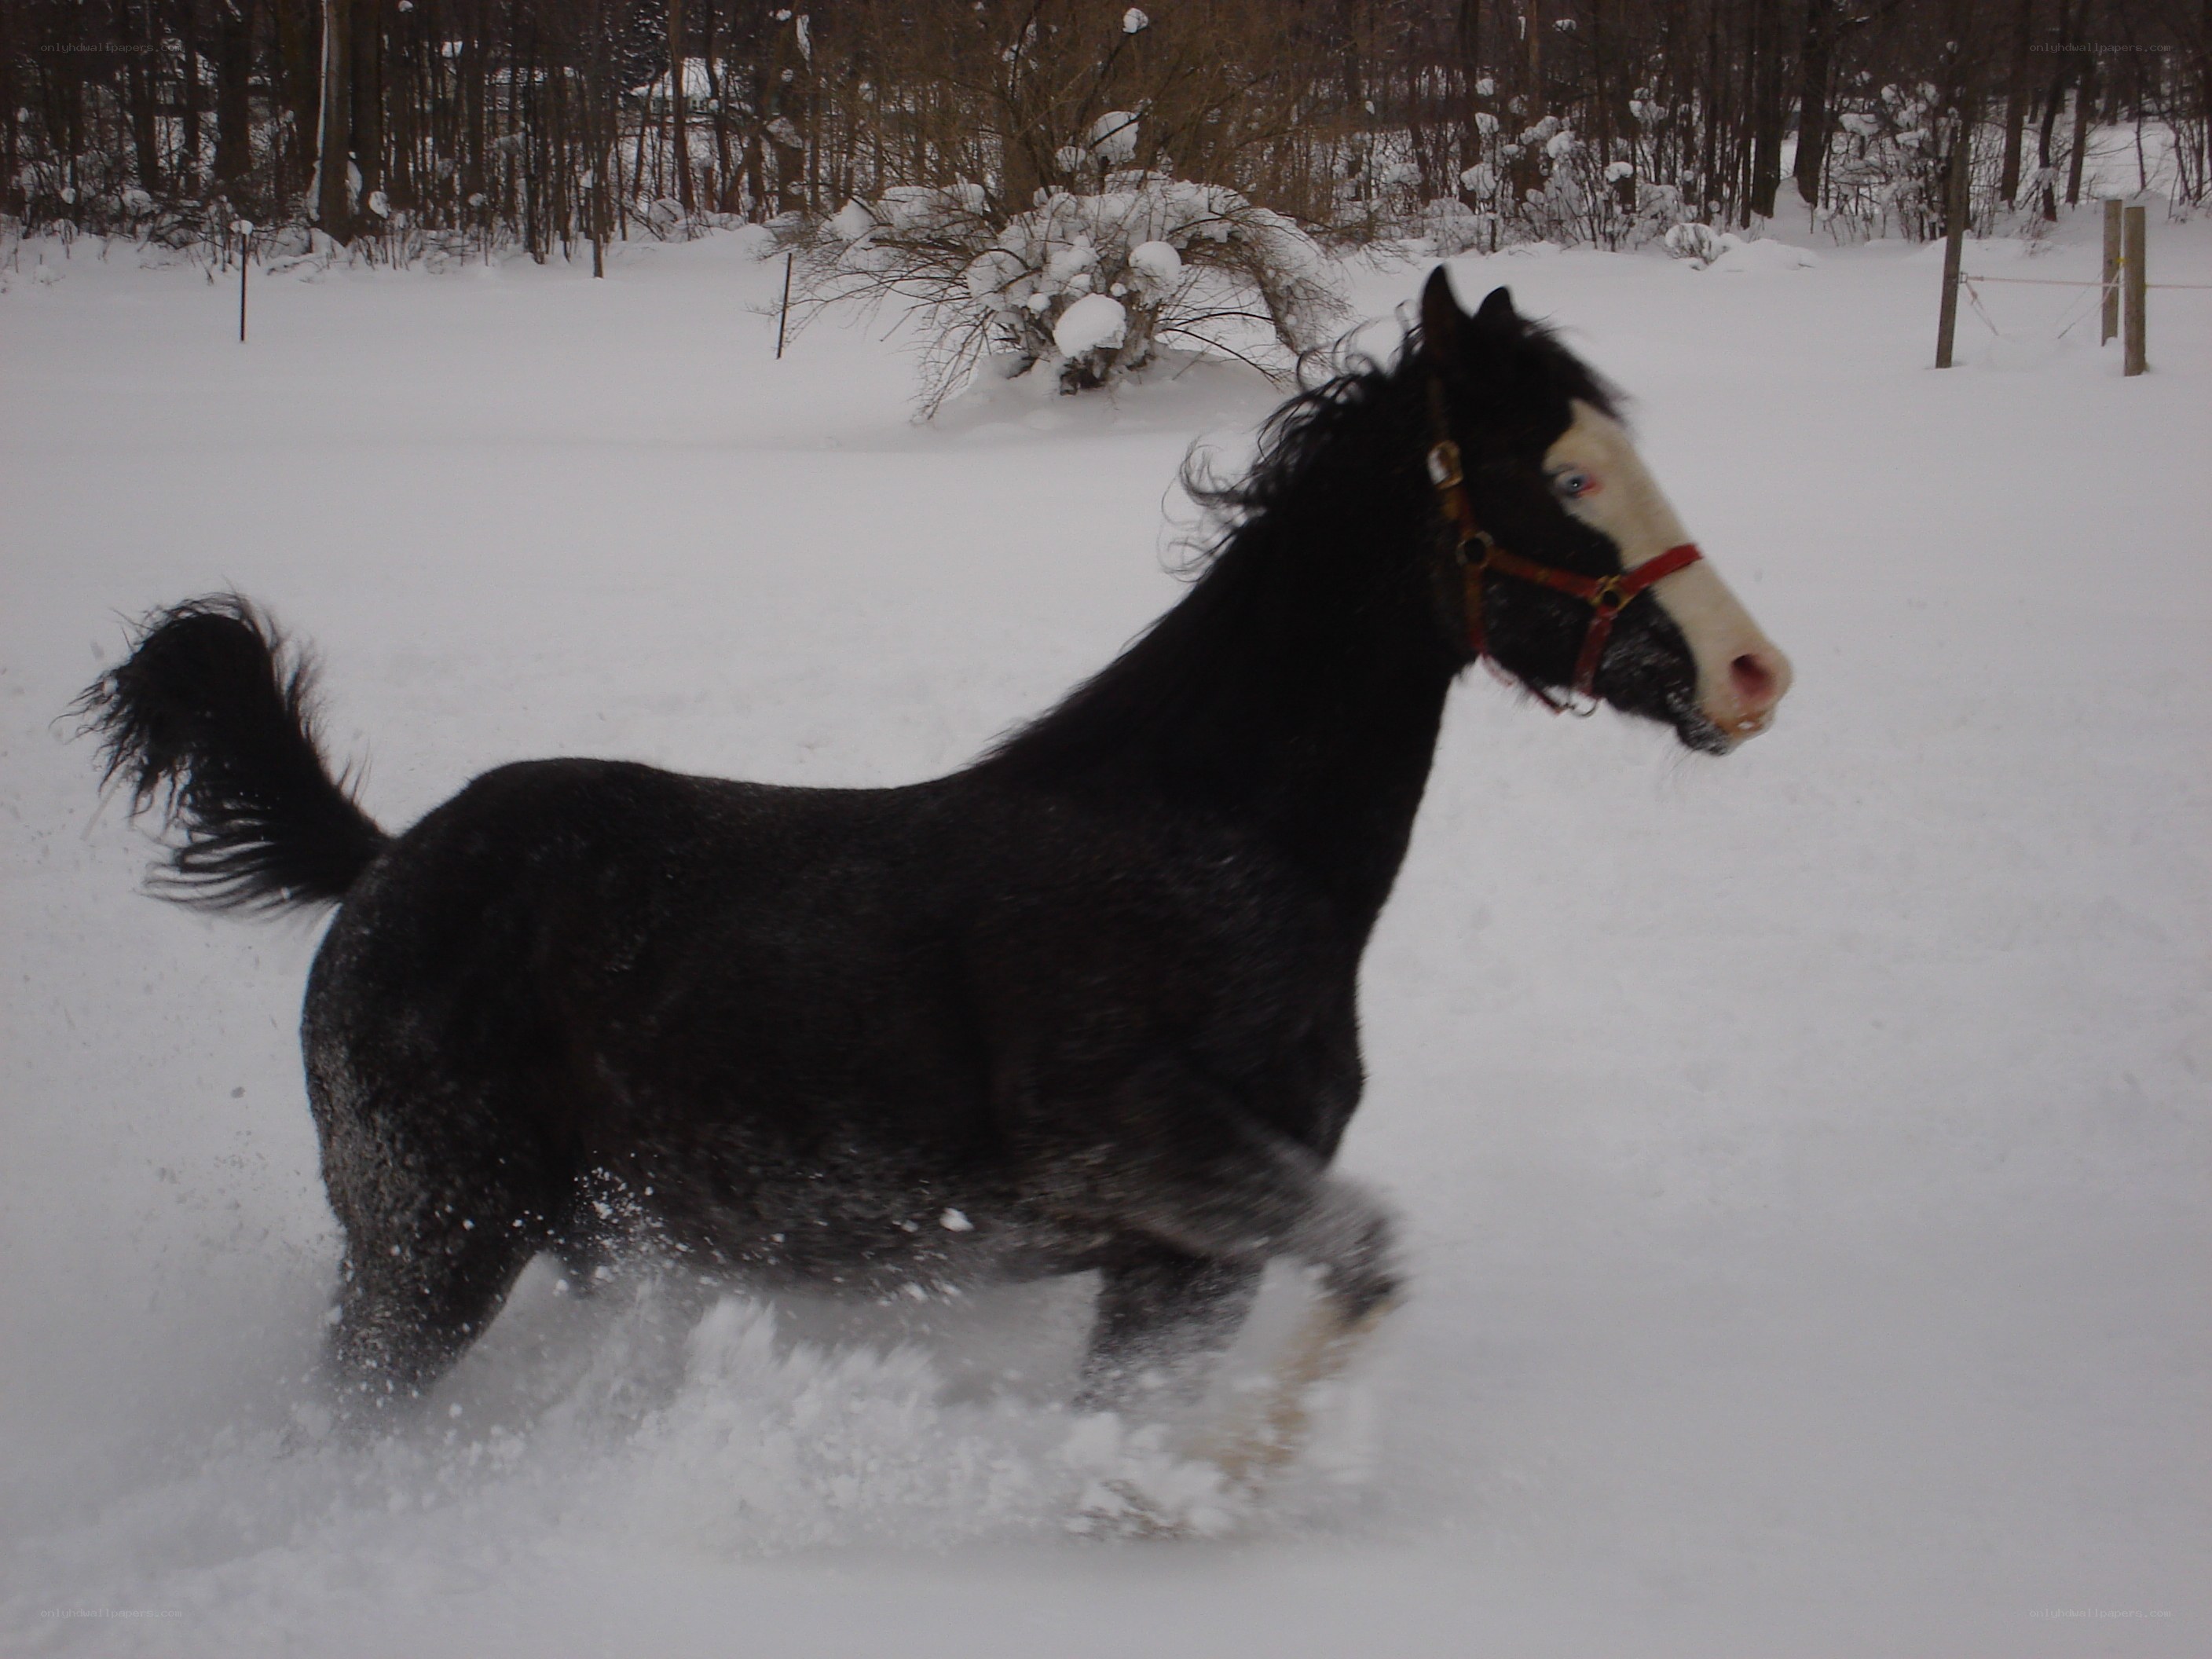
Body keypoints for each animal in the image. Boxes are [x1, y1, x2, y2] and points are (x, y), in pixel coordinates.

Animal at [77, 271, 1790, 1485]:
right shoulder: (1148, 1162)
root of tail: (386, 862)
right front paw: (1200, 1492)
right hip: (429, 1245)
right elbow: (1370, 1255)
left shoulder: (1176, 1260)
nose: (1753, 673)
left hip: (576, 1243)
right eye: (1566, 477)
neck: (1220, 848)